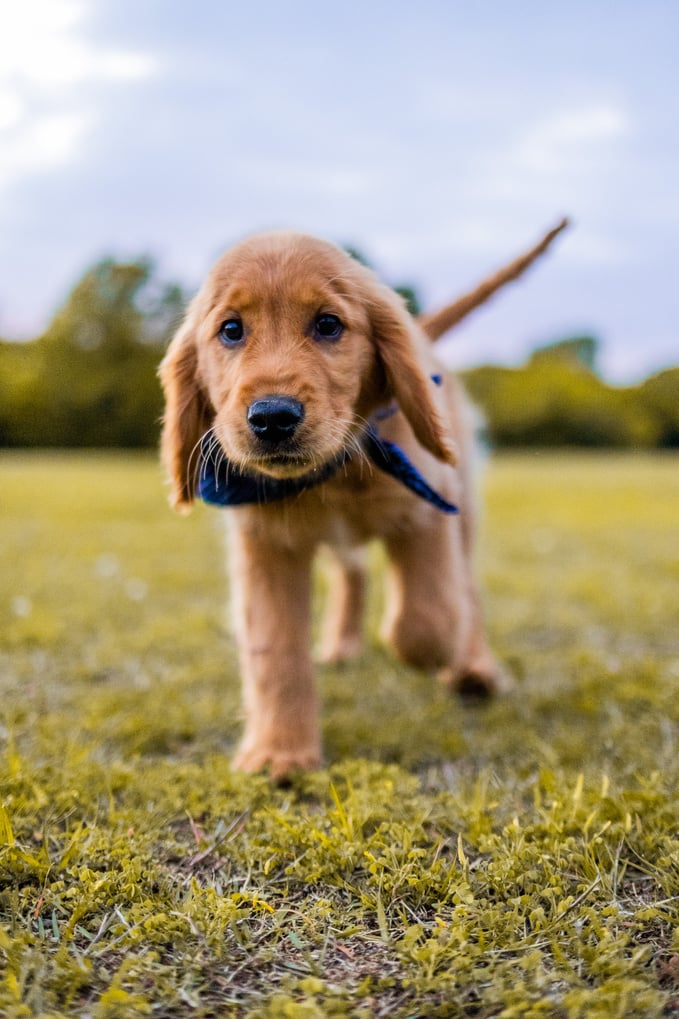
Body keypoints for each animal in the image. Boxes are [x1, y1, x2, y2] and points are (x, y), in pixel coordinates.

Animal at [159, 219, 566, 774]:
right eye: (231, 330)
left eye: (329, 325)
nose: (272, 417)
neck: (334, 474)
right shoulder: (265, 546)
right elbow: (274, 651)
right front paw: (279, 753)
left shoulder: (428, 509)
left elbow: (429, 617)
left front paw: (438, 652)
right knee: (351, 572)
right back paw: (341, 644)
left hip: (462, 507)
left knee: (466, 589)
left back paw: (473, 668)